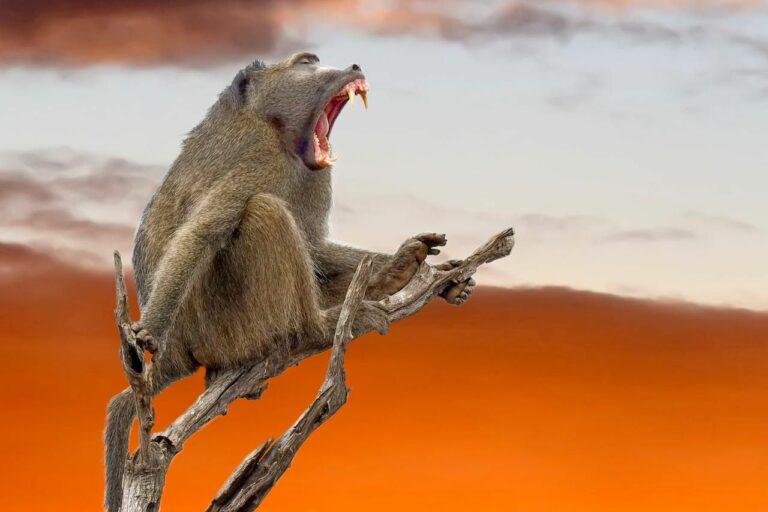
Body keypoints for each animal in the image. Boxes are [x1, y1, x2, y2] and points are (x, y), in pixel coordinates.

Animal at [104, 52, 475, 511]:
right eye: (306, 62)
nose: (353, 67)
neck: (271, 125)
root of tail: (182, 351)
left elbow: (313, 246)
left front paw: (409, 268)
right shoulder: (261, 161)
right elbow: (205, 231)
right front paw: (150, 330)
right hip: (222, 326)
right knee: (265, 213)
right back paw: (320, 326)